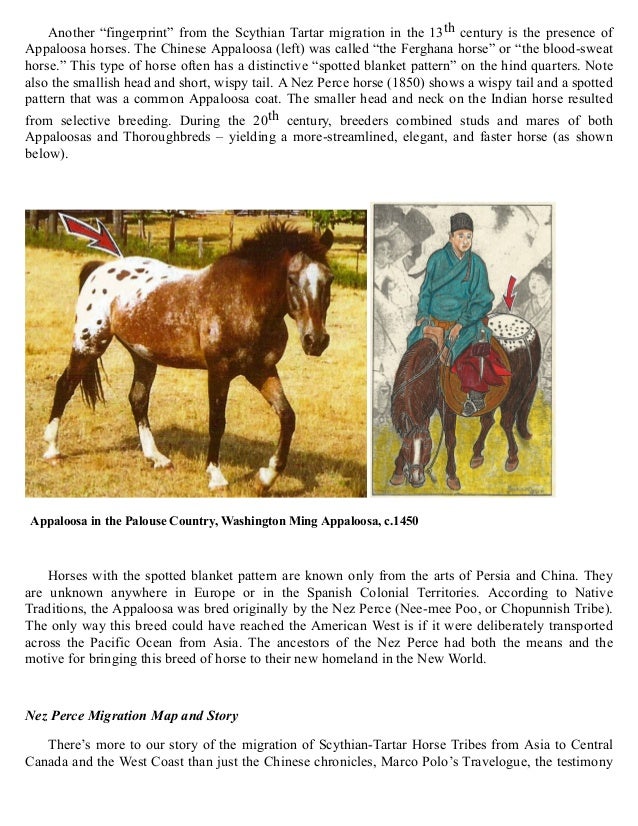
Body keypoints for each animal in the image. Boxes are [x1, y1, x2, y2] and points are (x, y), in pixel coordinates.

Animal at [42, 221, 334, 494]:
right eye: (292, 279)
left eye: (329, 279)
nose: (316, 340)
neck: (244, 300)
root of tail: (99, 268)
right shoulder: (219, 371)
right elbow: (217, 422)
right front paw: (216, 477)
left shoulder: (261, 370)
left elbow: (287, 417)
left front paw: (265, 479)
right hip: (89, 344)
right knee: (65, 387)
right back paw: (52, 451)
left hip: (143, 356)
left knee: (137, 399)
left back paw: (157, 458)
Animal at [389, 314, 541, 491]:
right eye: (408, 447)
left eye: (427, 445)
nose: (416, 479)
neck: (431, 370)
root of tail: (530, 329)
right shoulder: (424, 410)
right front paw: (397, 473)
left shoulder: (446, 410)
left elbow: (450, 440)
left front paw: (452, 476)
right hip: (496, 397)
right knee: (488, 421)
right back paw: (477, 455)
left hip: (516, 392)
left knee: (507, 423)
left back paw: (512, 458)